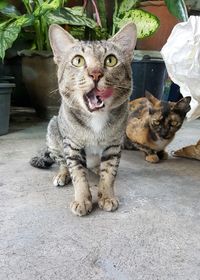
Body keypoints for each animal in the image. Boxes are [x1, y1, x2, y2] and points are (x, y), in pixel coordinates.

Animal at [30, 23, 138, 217]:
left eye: (111, 60)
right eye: (78, 60)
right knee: (62, 163)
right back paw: (62, 175)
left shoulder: (114, 145)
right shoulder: (72, 146)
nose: (95, 73)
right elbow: (78, 175)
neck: (96, 119)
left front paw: (107, 196)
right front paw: (82, 200)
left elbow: (109, 173)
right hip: (54, 133)